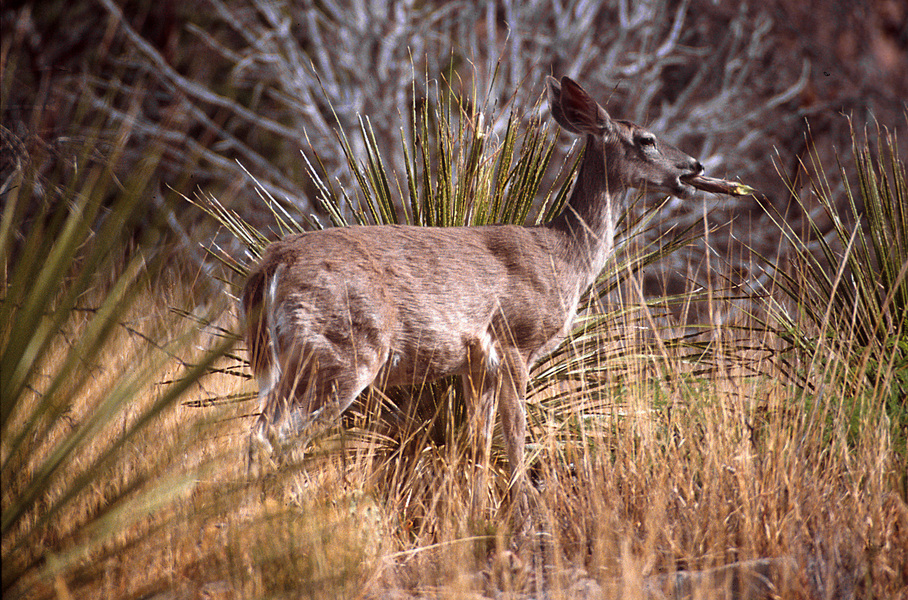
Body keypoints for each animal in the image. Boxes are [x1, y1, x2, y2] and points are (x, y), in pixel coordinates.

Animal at [245, 75, 740, 512]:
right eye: (647, 139)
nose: (695, 167)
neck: (565, 257)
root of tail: (272, 264)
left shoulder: (473, 364)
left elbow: (477, 444)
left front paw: (477, 511)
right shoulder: (515, 339)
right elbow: (516, 435)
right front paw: (520, 510)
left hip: (296, 358)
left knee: (261, 434)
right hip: (342, 348)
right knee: (279, 437)